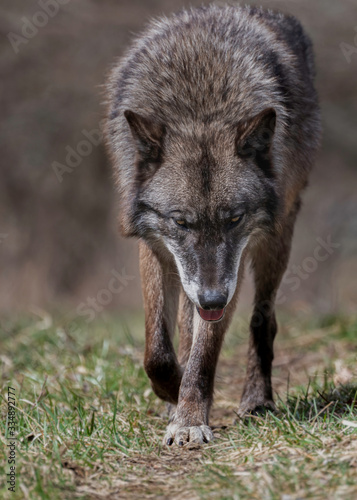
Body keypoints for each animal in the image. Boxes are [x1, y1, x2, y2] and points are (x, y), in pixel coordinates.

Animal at [103, 3, 320, 448]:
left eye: (233, 218)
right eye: (181, 221)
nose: (213, 299)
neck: (199, 110)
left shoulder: (231, 269)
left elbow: (204, 353)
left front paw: (188, 416)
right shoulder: (155, 245)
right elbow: (157, 350)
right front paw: (174, 395)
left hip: (276, 241)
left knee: (262, 321)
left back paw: (257, 400)